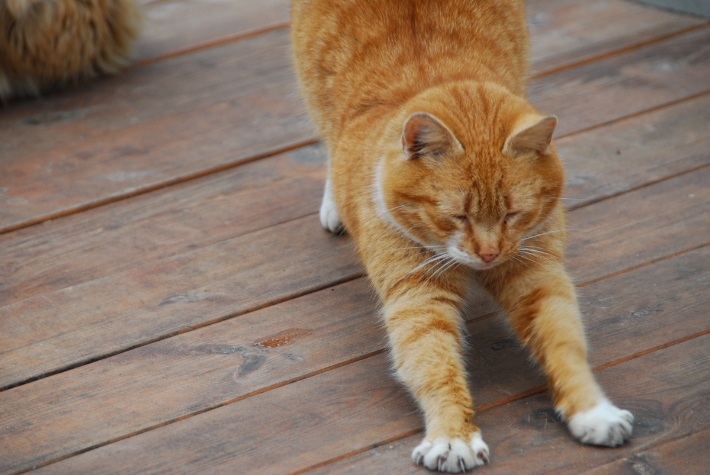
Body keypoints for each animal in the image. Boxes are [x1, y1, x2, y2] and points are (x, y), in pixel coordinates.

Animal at [292, 0, 636, 470]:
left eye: (512, 214)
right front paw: (453, 436)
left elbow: (564, 340)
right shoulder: (419, 296)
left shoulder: (536, 274)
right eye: (457, 216)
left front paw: (593, 411)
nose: (489, 254)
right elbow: (435, 362)